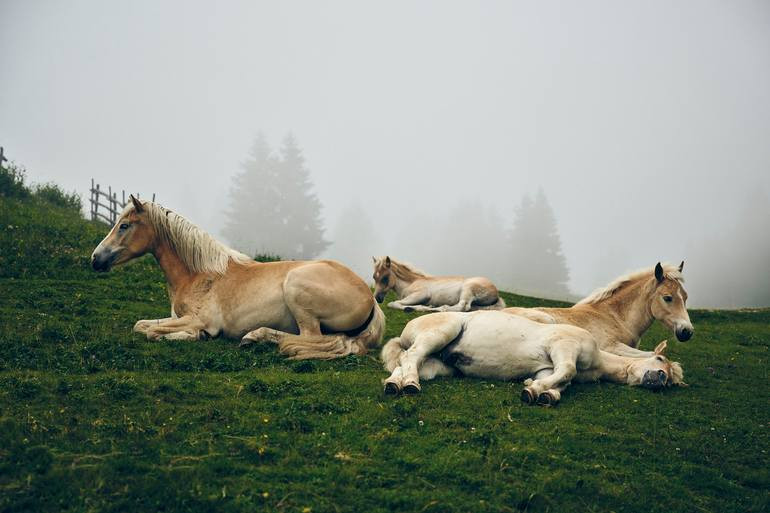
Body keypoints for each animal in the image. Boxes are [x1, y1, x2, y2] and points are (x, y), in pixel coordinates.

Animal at [90, 195, 385, 359]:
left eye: (124, 226)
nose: (95, 259)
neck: (198, 274)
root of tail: (371, 300)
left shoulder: (198, 319)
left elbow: (152, 331)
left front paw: (192, 336)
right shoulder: (176, 317)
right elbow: (141, 325)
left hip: (296, 289)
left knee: (312, 337)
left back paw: (255, 336)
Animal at [372, 256, 506, 312]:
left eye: (385, 277)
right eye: (374, 277)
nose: (377, 298)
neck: (411, 283)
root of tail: (496, 293)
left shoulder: (421, 294)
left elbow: (393, 303)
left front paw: (416, 307)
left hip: (468, 289)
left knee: (462, 306)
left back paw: (439, 308)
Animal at [380, 310, 684, 406]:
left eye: (670, 381)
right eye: (660, 362)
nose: (660, 379)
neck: (598, 358)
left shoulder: (547, 368)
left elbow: (560, 382)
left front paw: (542, 393)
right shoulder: (563, 348)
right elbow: (568, 372)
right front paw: (532, 391)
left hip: (437, 365)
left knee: (406, 362)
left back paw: (397, 385)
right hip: (442, 332)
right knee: (412, 355)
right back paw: (410, 386)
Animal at [504, 262, 694, 358]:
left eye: (685, 297)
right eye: (667, 297)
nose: (687, 332)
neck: (616, 317)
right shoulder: (611, 346)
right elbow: (650, 355)